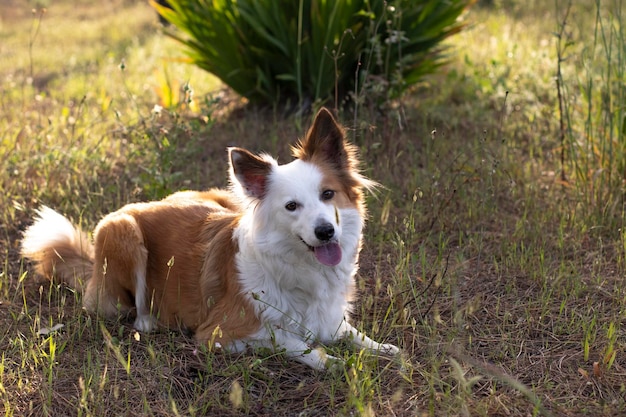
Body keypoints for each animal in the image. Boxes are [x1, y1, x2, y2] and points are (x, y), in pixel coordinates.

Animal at [22, 108, 400, 370]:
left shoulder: (329, 317)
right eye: (292, 206)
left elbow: (350, 333)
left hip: (221, 195)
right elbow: (291, 340)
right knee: (137, 311)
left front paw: (383, 349)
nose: (325, 232)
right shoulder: (218, 334)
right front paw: (330, 361)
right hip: (121, 230)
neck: (298, 267)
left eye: (328, 194)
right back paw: (151, 321)